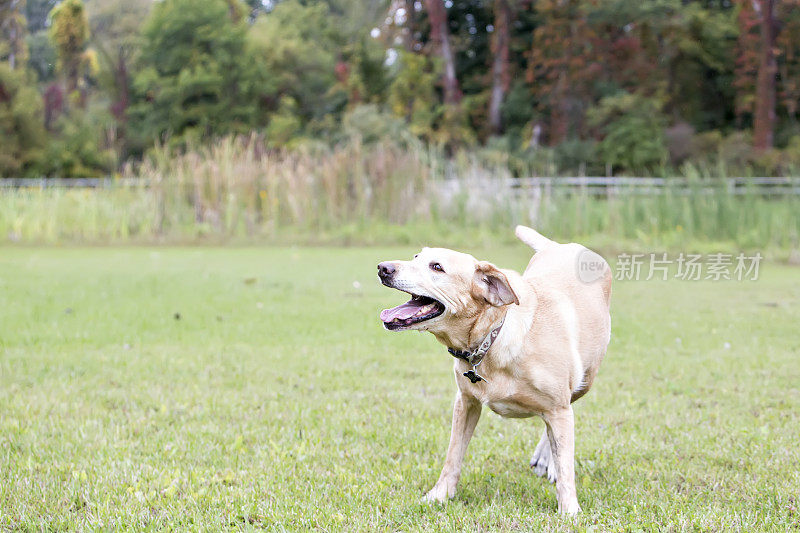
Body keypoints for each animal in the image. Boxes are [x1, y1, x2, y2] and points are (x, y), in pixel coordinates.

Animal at [376, 223, 612, 512]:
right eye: (416, 257)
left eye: (437, 267)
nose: (383, 268)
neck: (493, 335)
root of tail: (561, 246)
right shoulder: (465, 402)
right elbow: (453, 454)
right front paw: (440, 495)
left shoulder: (559, 408)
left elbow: (566, 464)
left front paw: (569, 510)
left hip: (584, 382)